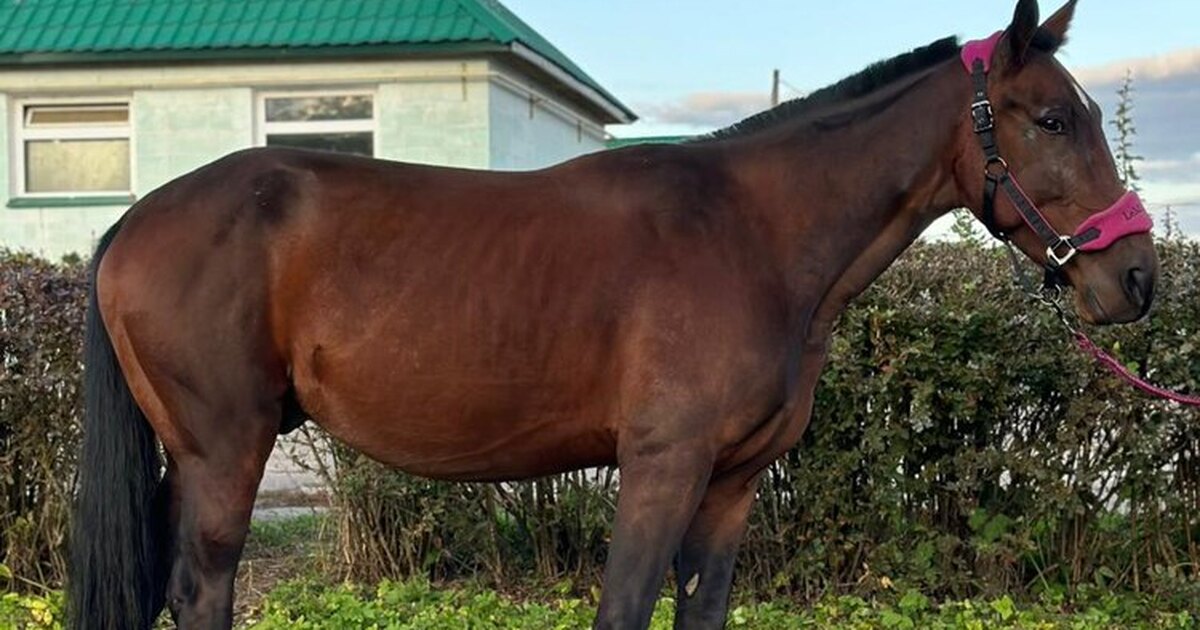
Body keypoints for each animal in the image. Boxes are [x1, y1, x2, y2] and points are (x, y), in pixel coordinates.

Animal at [65, 2, 1152, 624]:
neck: (749, 232)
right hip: (224, 449)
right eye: (1053, 119)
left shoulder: (731, 486)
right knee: (199, 592)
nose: (1137, 279)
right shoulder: (661, 467)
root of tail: (135, 219)